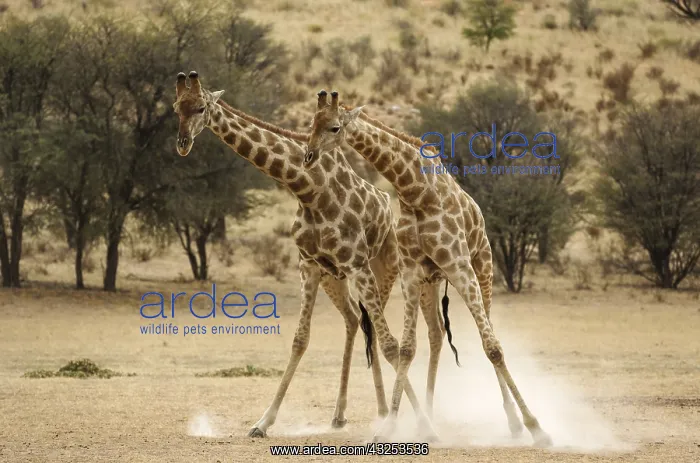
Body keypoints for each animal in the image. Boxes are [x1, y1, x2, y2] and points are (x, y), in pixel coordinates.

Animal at [172, 71, 431, 438]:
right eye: (176, 108)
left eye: (200, 107)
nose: (182, 144)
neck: (308, 189)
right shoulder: (308, 264)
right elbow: (300, 340)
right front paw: (262, 422)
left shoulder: (356, 264)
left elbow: (390, 343)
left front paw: (422, 422)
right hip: (334, 276)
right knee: (355, 320)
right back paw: (344, 415)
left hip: (382, 268)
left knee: (378, 332)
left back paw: (383, 413)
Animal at [305, 90, 552, 447]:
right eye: (311, 122)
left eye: (335, 127)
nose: (308, 155)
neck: (414, 190)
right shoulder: (410, 272)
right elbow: (407, 348)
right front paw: (388, 427)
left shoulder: (459, 264)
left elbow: (492, 347)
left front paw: (536, 427)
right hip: (432, 280)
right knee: (436, 333)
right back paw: (432, 419)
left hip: (483, 266)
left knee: (490, 331)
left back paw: (514, 422)